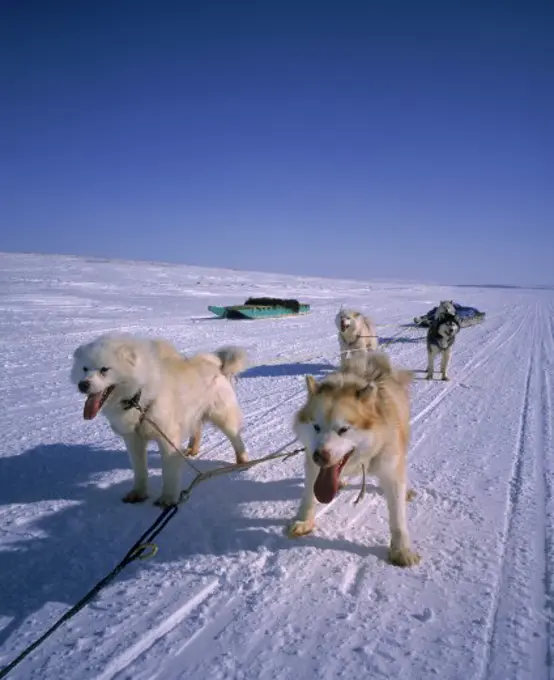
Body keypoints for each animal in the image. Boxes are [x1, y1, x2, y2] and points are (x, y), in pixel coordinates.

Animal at [70, 332, 247, 508]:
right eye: (84, 368)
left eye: (104, 369)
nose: (83, 385)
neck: (139, 397)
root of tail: (216, 366)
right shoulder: (133, 439)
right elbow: (140, 470)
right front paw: (138, 493)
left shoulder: (167, 438)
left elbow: (168, 472)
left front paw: (168, 498)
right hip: (193, 416)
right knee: (196, 430)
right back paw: (192, 450)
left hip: (223, 417)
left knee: (236, 439)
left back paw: (242, 461)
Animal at [288, 350, 418, 568]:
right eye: (316, 427)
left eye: (343, 429)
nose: (319, 456)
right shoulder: (312, 467)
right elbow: (309, 496)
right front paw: (304, 521)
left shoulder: (391, 472)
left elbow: (398, 518)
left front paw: (402, 550)